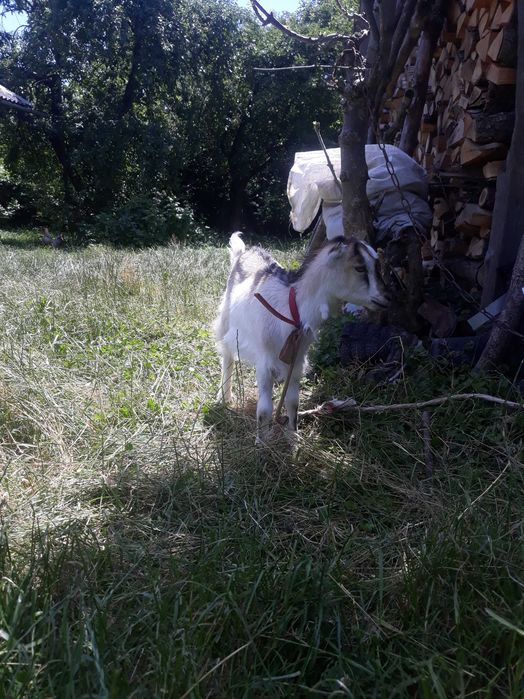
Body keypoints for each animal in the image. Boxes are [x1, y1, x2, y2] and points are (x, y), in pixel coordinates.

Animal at [214, 233, 389, 443]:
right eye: (360, 267)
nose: (386, 298)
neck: (293, 309)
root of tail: (245, 252)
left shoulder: (296, 360)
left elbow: (293, 402)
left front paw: (293, 438)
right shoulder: (265, 360)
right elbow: (264, 408)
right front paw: (261, 442)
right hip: (226, 320)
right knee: (227, 356)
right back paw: (225, 397)